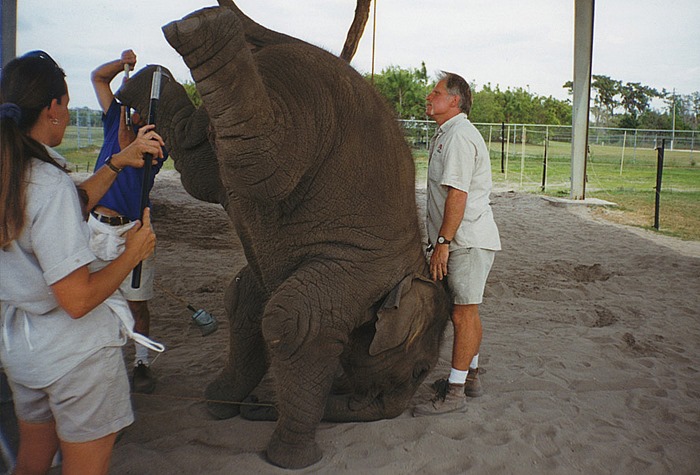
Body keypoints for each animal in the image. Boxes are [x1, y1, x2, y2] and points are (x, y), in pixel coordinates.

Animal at [117, 0, 452, 468]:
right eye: (420, 370)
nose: (257, 405)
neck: (414, 265)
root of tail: (286, 39)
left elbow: (246, 302)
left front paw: (218, 405)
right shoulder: (362, 267)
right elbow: (296, 320)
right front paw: (292, 459)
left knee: (204, 161)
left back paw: (149, 74)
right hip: (305, 103)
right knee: (258, 160)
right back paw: (207, 29)